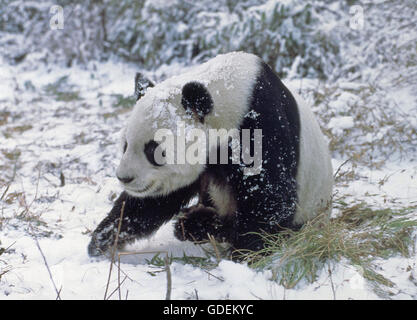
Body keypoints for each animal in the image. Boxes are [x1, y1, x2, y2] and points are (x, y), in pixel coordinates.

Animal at [88, 52, 332, 258]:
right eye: (125, 145)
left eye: (153, 150)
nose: (124, 178)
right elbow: (153, 202)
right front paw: (103, 240)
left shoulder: (260, 124)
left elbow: (271, 197)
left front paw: (244, 253)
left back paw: (199, 224)